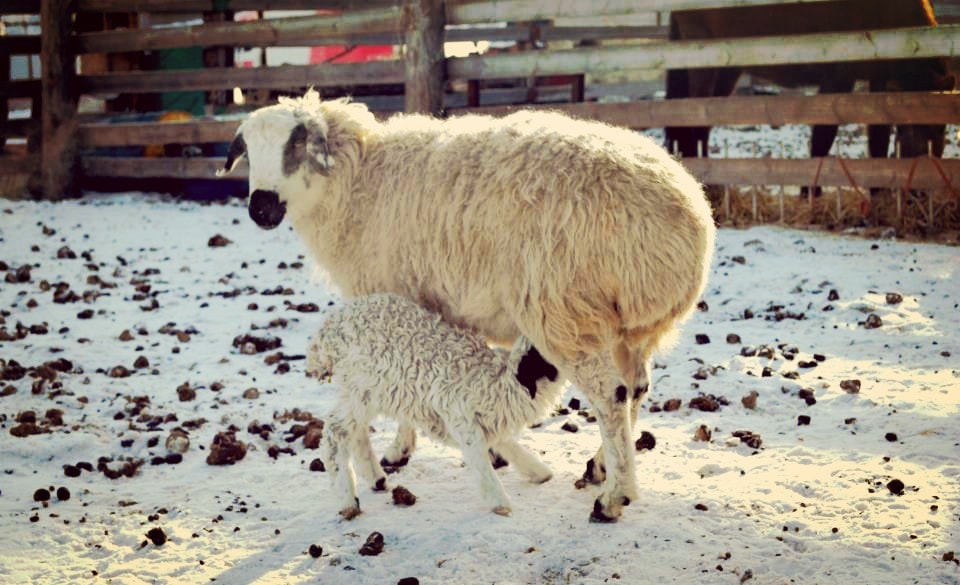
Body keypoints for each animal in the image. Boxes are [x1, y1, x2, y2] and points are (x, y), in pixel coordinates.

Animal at [306, 294, 564, 516]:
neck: (500, 382)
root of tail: (326, 333)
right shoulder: (461, 418)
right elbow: (479, 460)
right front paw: (500, 502)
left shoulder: (488, 422)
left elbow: (507, 445)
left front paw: (539, 472)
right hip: (363, 387)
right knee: (335, 431)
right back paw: (348, 499)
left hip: (362, 391)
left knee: (354, 430)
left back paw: (375, 478)